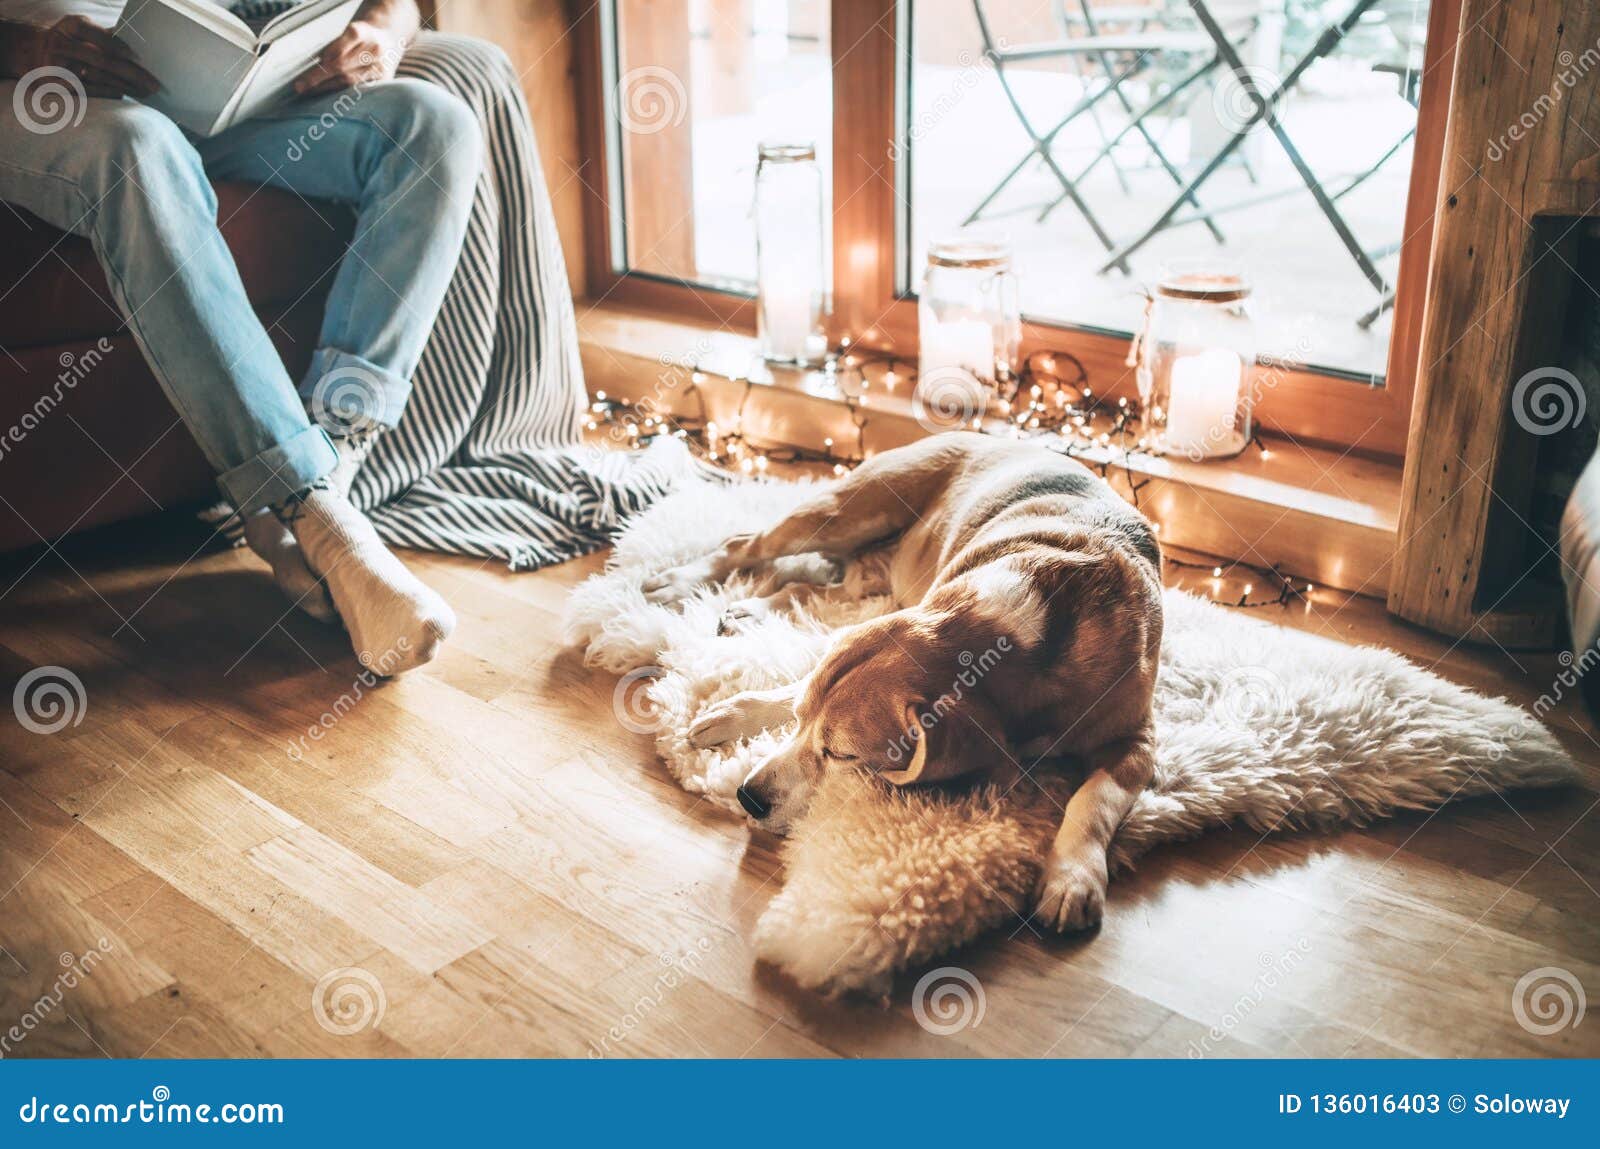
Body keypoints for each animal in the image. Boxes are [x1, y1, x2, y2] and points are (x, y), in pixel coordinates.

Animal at [640, 435, 1164, 934]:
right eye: (800, 722)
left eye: (843, 756)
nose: (747, 796)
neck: (1025, 630)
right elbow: (799, 679)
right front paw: (736, 713)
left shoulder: (1138, 741)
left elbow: (1095, 801)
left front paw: (1072, 877)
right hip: (841, 514)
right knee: (744, 544)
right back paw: (677, 583)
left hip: (868, 578)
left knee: (814, 590)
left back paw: (752, 610)